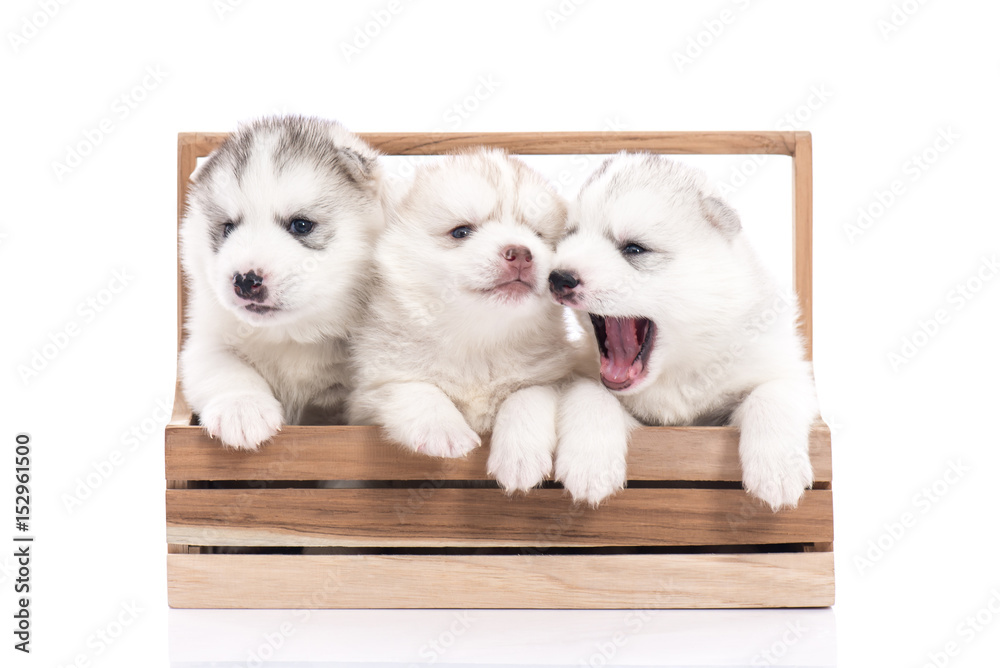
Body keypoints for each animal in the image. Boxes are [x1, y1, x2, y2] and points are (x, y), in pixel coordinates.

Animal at [348, 149, 580, 490]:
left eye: (538, 235)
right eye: (461, 231)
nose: (521, 253)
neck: (478, 343)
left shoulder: (550, 378)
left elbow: (526, 397)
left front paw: (520, 456)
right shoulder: (368, 393)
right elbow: (411, 387)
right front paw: (443, 429)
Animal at [552, 153, 816, 512]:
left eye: (634, 249)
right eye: (570, 237)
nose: (558, 277)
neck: (677, 372)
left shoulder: (787, 368)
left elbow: (771, 395)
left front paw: (777, 472)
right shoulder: (582, 372)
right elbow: (591, 393)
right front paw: (589, 464)